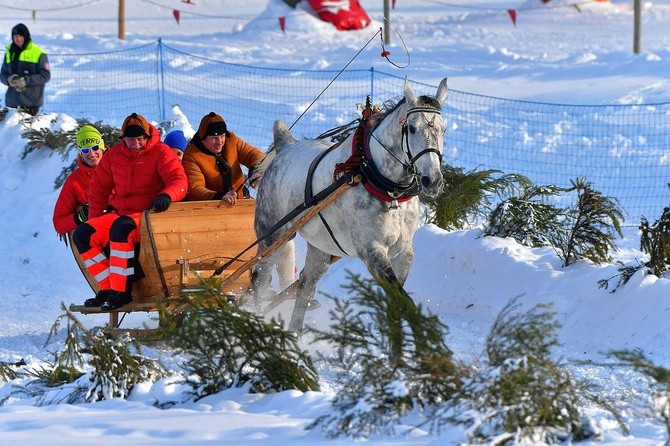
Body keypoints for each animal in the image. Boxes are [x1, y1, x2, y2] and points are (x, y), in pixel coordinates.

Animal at [251, 78, 446, 338]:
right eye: (412, 128)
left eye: (444, 129)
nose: (432, 180)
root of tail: (284, 147)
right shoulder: (371, 249)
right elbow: (404, 301)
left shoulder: (403, 251)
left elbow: (396, 303)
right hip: (273, 237)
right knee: (259, 279)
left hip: (320, 248)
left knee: (304, 286)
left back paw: (295, 334)